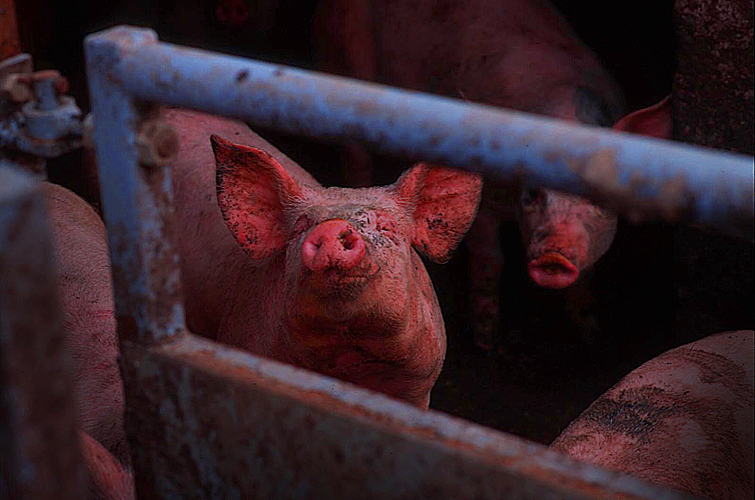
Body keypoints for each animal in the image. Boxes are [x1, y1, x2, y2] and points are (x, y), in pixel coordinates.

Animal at [313, 0, 628, 349]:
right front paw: (486, 341)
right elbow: (491, 259)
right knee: (356, 157)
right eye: (532, 194)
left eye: (601, 201)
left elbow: (589, 272)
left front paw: (592, 334)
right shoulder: (483, 197)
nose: (554, 257)